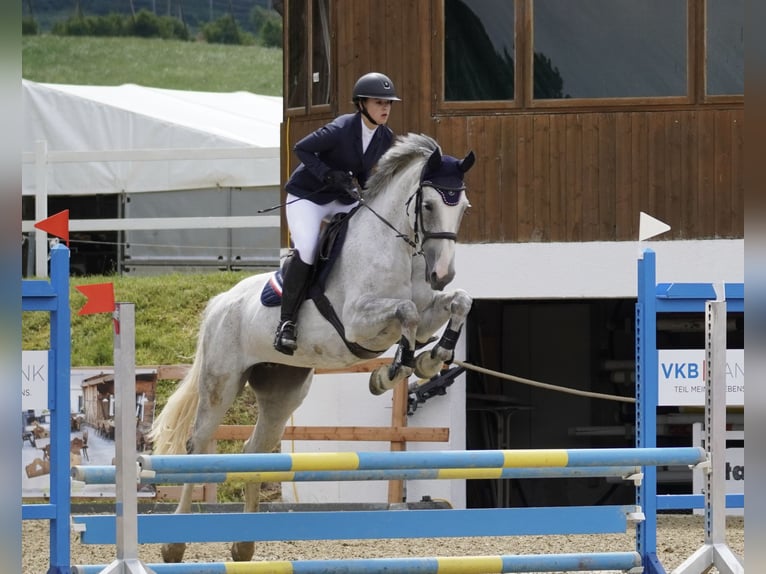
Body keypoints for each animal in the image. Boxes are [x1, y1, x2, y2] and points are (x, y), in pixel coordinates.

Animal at [147, 133, 476, 564]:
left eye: (463, 208)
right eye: (428, 205)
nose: (442, 273)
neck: (397, 249)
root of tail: (221, 302)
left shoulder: (427, 310)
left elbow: (459, 303)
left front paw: (430, 358)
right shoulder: (359, 322)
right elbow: (404, 313)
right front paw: (390, 372)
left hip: (283, 390)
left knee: (255, 450)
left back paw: (242, 546)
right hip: (221, 381)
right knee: (198, 446)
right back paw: (174, 546)